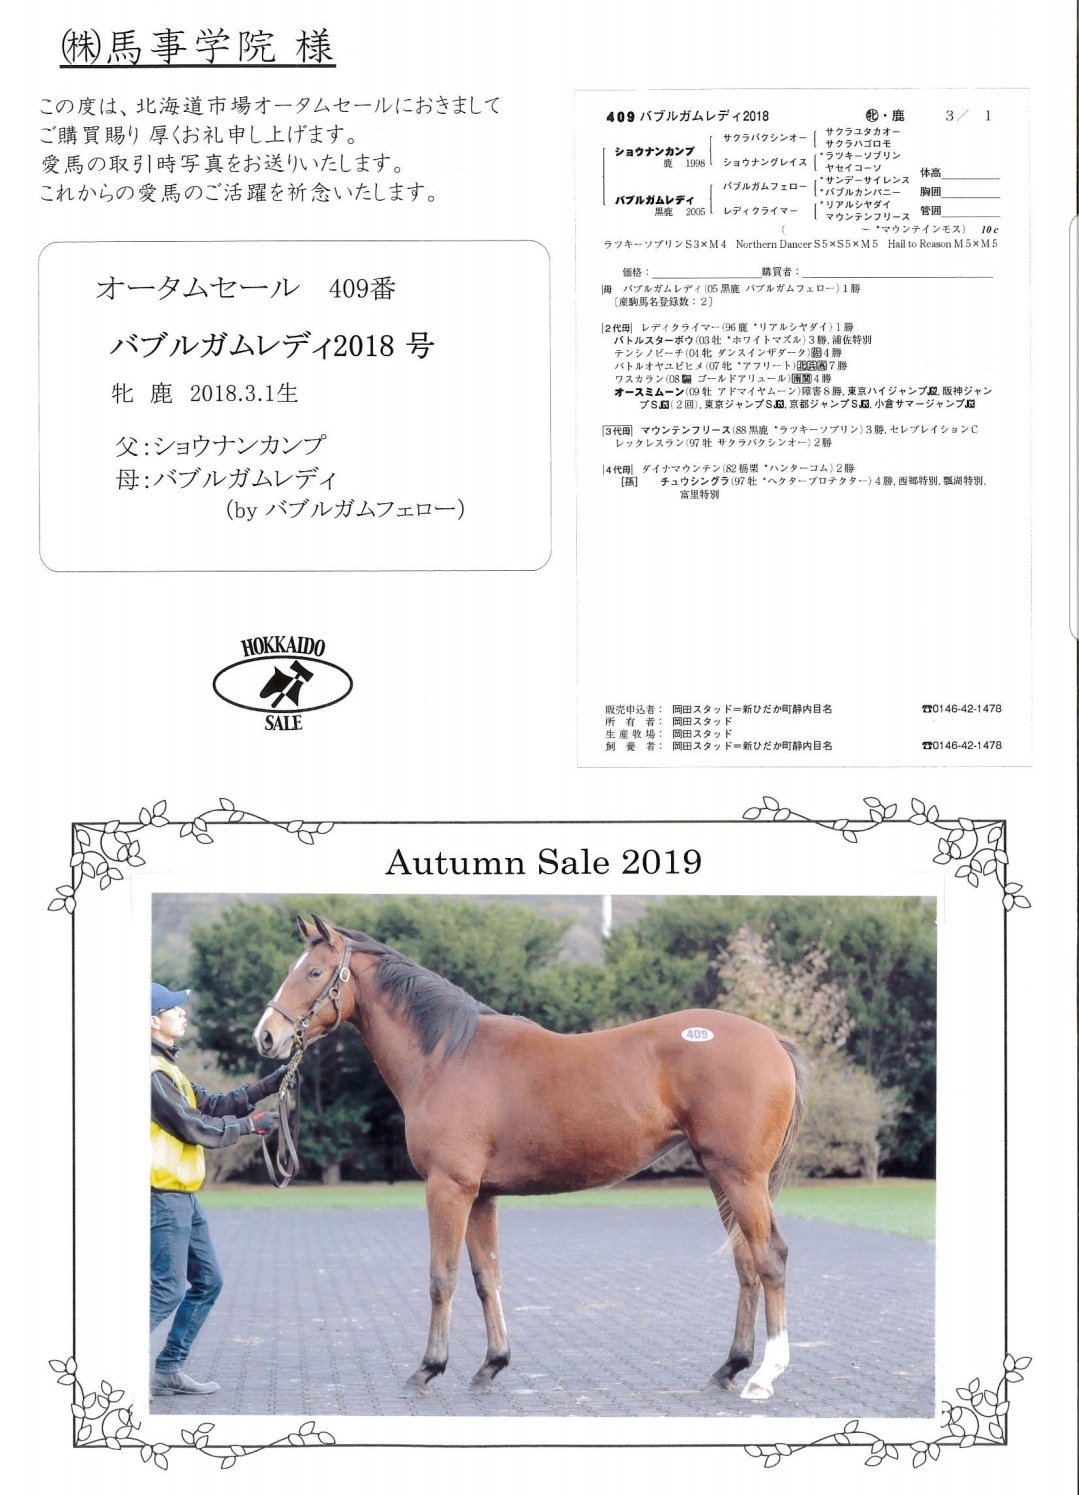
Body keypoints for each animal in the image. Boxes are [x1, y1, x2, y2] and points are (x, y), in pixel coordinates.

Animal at [253, 915, 807, 1401]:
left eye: (314, 972)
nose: (266, 1036)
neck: (448, 1057)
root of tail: (773, 1041)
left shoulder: (448, 1187)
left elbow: (442, 1277)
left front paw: (427, 1370)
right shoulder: (481, 1196)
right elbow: (486, 1277)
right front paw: (491, 1366)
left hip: (741, 1178)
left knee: (771, 1258)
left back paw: (764, 1376)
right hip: (721, 1177)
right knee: (746, 1262)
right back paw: (729, 1368)